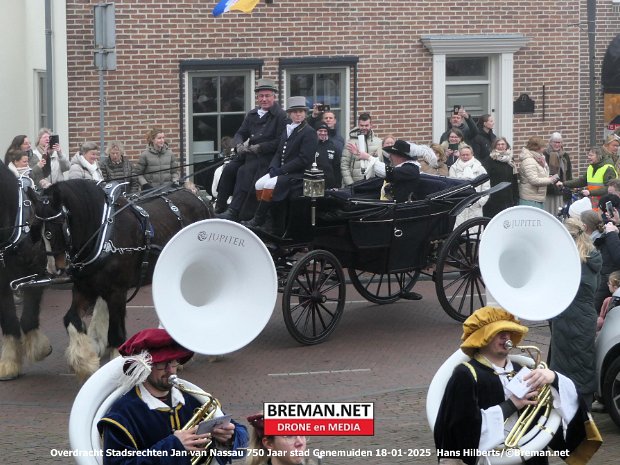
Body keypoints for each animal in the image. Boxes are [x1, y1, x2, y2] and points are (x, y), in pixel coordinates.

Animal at [29, 179, 212, 378]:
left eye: (57, 227)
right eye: (36, 229)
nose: (53, 269)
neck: (104, 234)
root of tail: (197, 197)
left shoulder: (116, 291)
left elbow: (116, 334)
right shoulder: (84, 288)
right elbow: (71, 319)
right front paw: (85, 362)